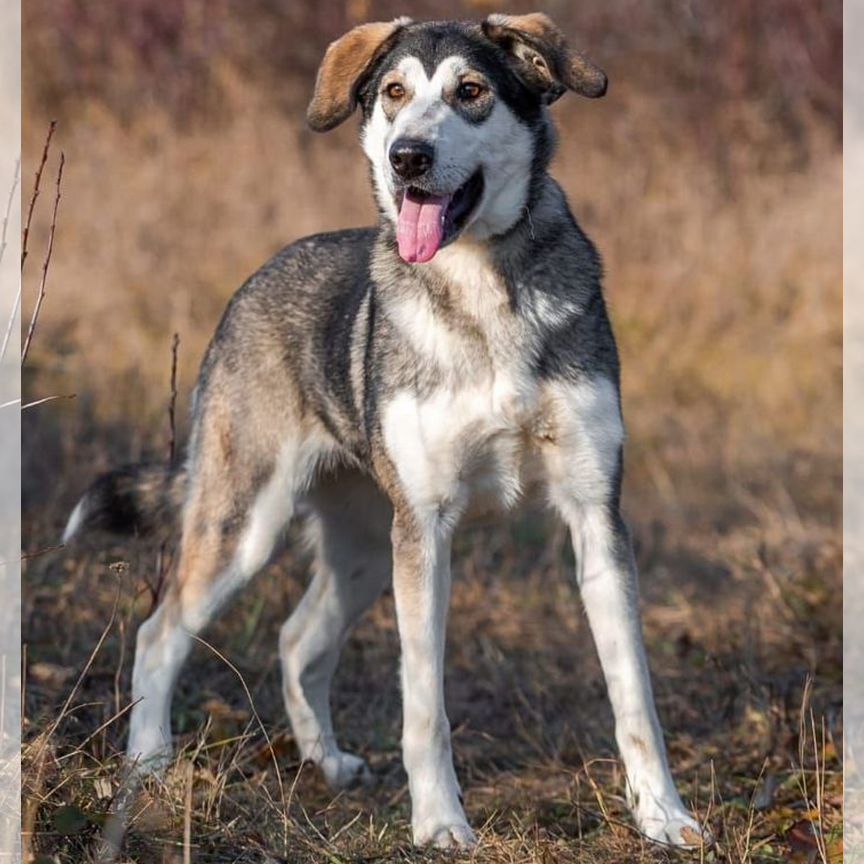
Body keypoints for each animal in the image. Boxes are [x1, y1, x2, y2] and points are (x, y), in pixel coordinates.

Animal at [64, 13, 704, 852]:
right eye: (394, 93)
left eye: (471, 91)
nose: (408, 158)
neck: (484, 292)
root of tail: (256, 278)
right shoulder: (425, 531)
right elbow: (423, 706)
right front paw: (439, 825)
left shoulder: (596, 516)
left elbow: (634, 695)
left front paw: (663, 815)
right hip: (248, 527)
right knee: (158, 633)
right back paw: (149, 766)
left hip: (366, 548)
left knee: (297, 639)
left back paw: (325, 762)